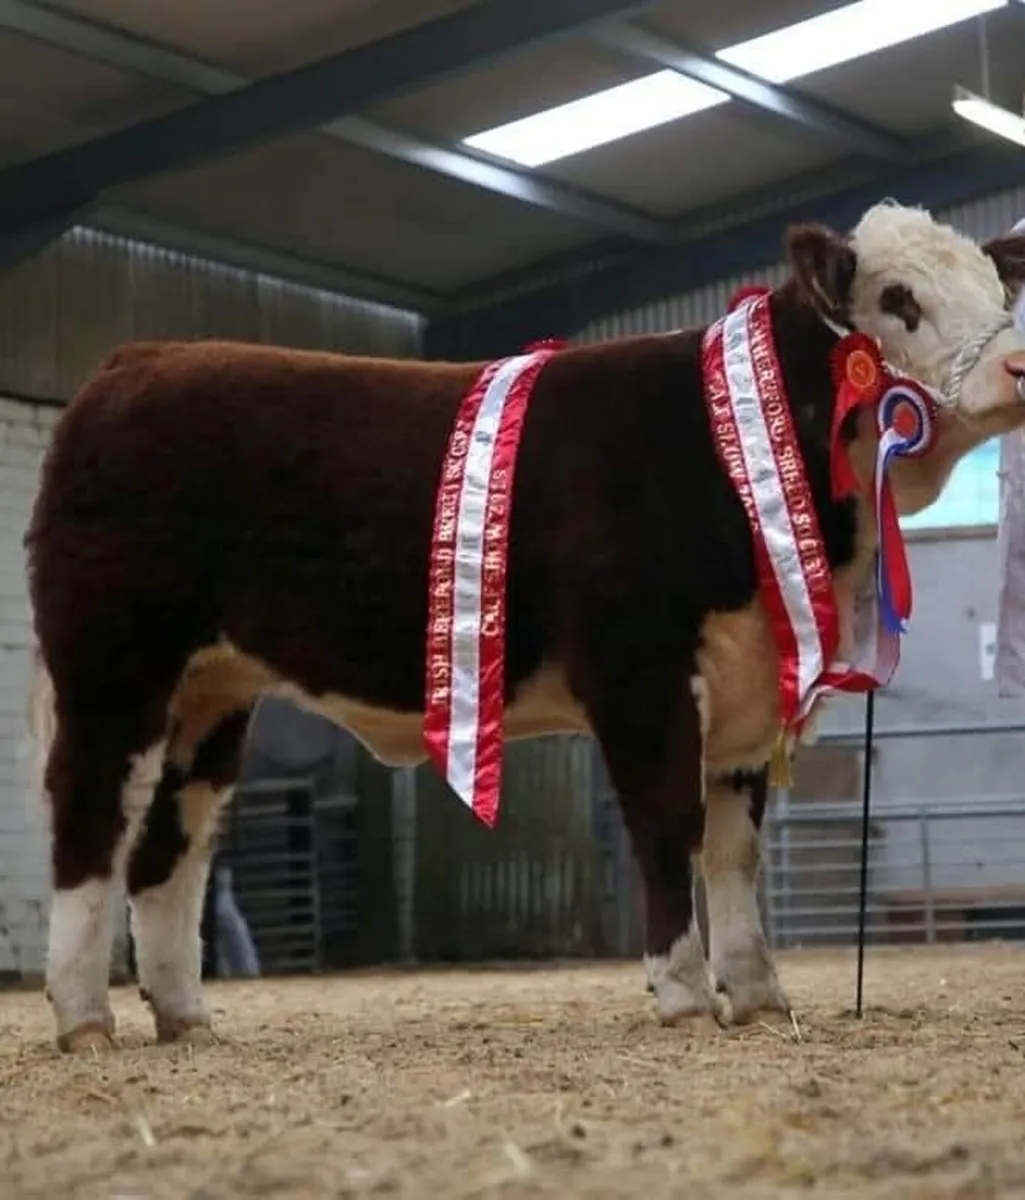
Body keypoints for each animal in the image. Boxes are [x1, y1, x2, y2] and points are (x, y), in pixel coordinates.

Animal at [24, 201, 1025, 1053]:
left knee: (169, 842)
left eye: (995, 286)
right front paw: (683, 995)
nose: (1017, 367)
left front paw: (757, 996)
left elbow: (734, 853)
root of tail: (135, 362)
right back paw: (83, 1019)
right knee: (91, 820)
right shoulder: (639, 674)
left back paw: (184, 1017)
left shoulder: (747, 690)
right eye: (897, 300)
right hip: (113, 664)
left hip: (211, 691)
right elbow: (669, 829)